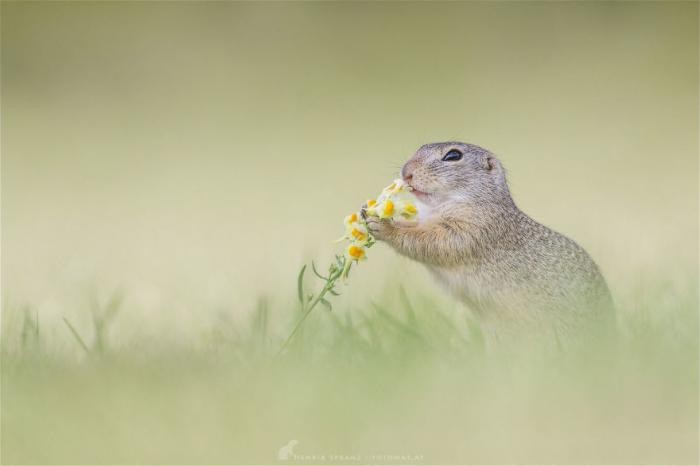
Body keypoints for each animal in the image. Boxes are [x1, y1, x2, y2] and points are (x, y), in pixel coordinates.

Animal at [366, 140, 612, 336]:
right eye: (420, 147)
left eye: (453, 155)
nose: (406, 171)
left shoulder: (475, 228)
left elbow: (433, 243)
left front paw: (383, 226)